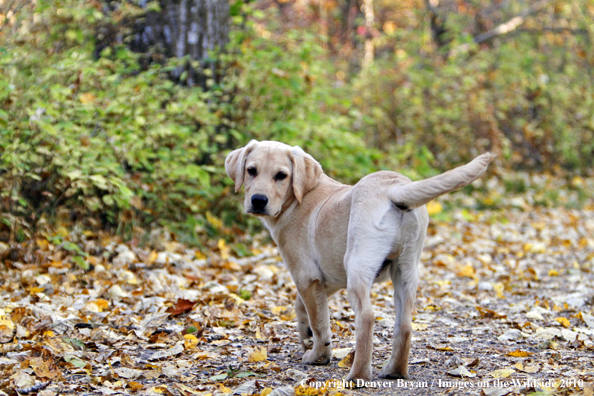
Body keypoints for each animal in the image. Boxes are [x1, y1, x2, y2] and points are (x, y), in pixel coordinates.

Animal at [224, 141, 492, 382]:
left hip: (357, 266)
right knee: (404, 325)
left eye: (281, 175)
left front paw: (318, 355)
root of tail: (393, 187)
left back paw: (358, 374)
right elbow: (304, 308)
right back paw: (394, 370)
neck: (298, 198)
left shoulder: (306, 276)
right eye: (251, 170)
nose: (258, 200)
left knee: (366, 317)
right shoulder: (328, 279)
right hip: (405, 270)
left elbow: (319, 321)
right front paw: (306, 335)